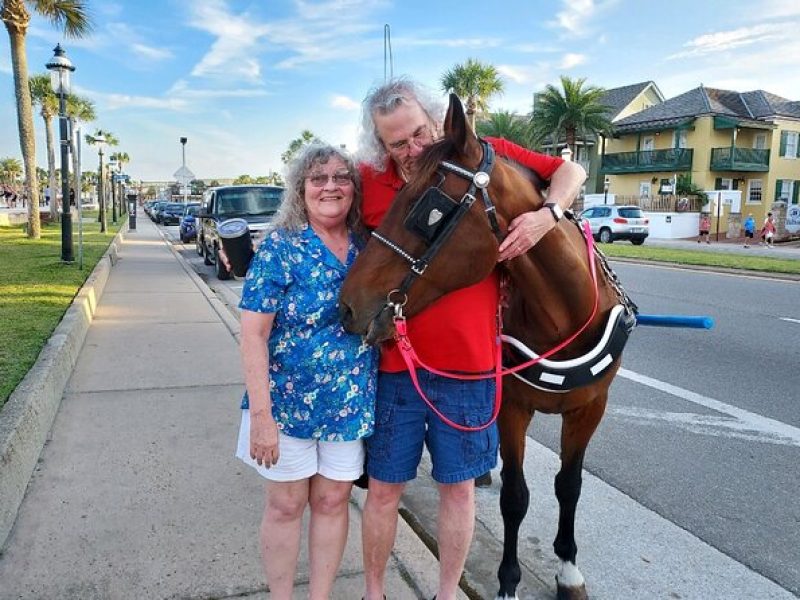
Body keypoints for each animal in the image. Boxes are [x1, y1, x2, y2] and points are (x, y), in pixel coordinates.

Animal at [340, 96, 636, 596]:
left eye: (428, 210)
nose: (346, 306)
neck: (562, 317)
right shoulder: (513, 406)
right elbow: (516, 496)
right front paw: (508, 579)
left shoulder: (590, 406)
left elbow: (569, 484)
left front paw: (568, 567)